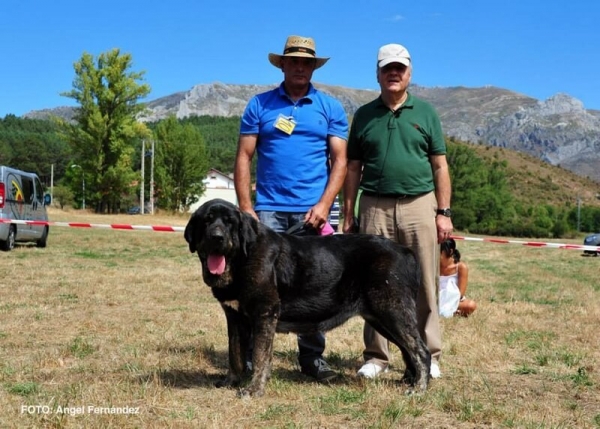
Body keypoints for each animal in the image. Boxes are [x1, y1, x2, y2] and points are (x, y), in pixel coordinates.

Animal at [185, 199, 428, 396]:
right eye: (206, 221)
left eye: (230, 223)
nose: (217, 237)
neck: (242, 259)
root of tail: (406, 252)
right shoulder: (235, 317)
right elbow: (235, 354)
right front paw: (231, 381)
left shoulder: (264, 314)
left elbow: (261, 357)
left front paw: (254, 390)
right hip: (381, 318)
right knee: (408, 349)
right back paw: (409, 380)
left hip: (392, 311)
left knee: (420, 350)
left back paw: (419, 388)